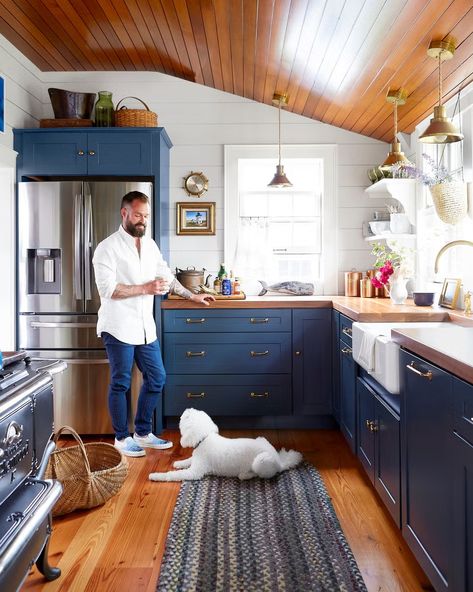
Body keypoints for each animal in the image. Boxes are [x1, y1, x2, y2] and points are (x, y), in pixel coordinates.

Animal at [148, 410, 302, 484]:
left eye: (185, 417)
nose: (186, 409)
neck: (204, 438)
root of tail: (280, 461)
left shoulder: (195, 472)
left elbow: (172, 475)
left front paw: (156, 475)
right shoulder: (196, 459)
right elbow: (188, 460)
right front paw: (179, 462)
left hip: (261, 460)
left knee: (263, 474)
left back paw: (245, 474)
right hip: (262, 439)